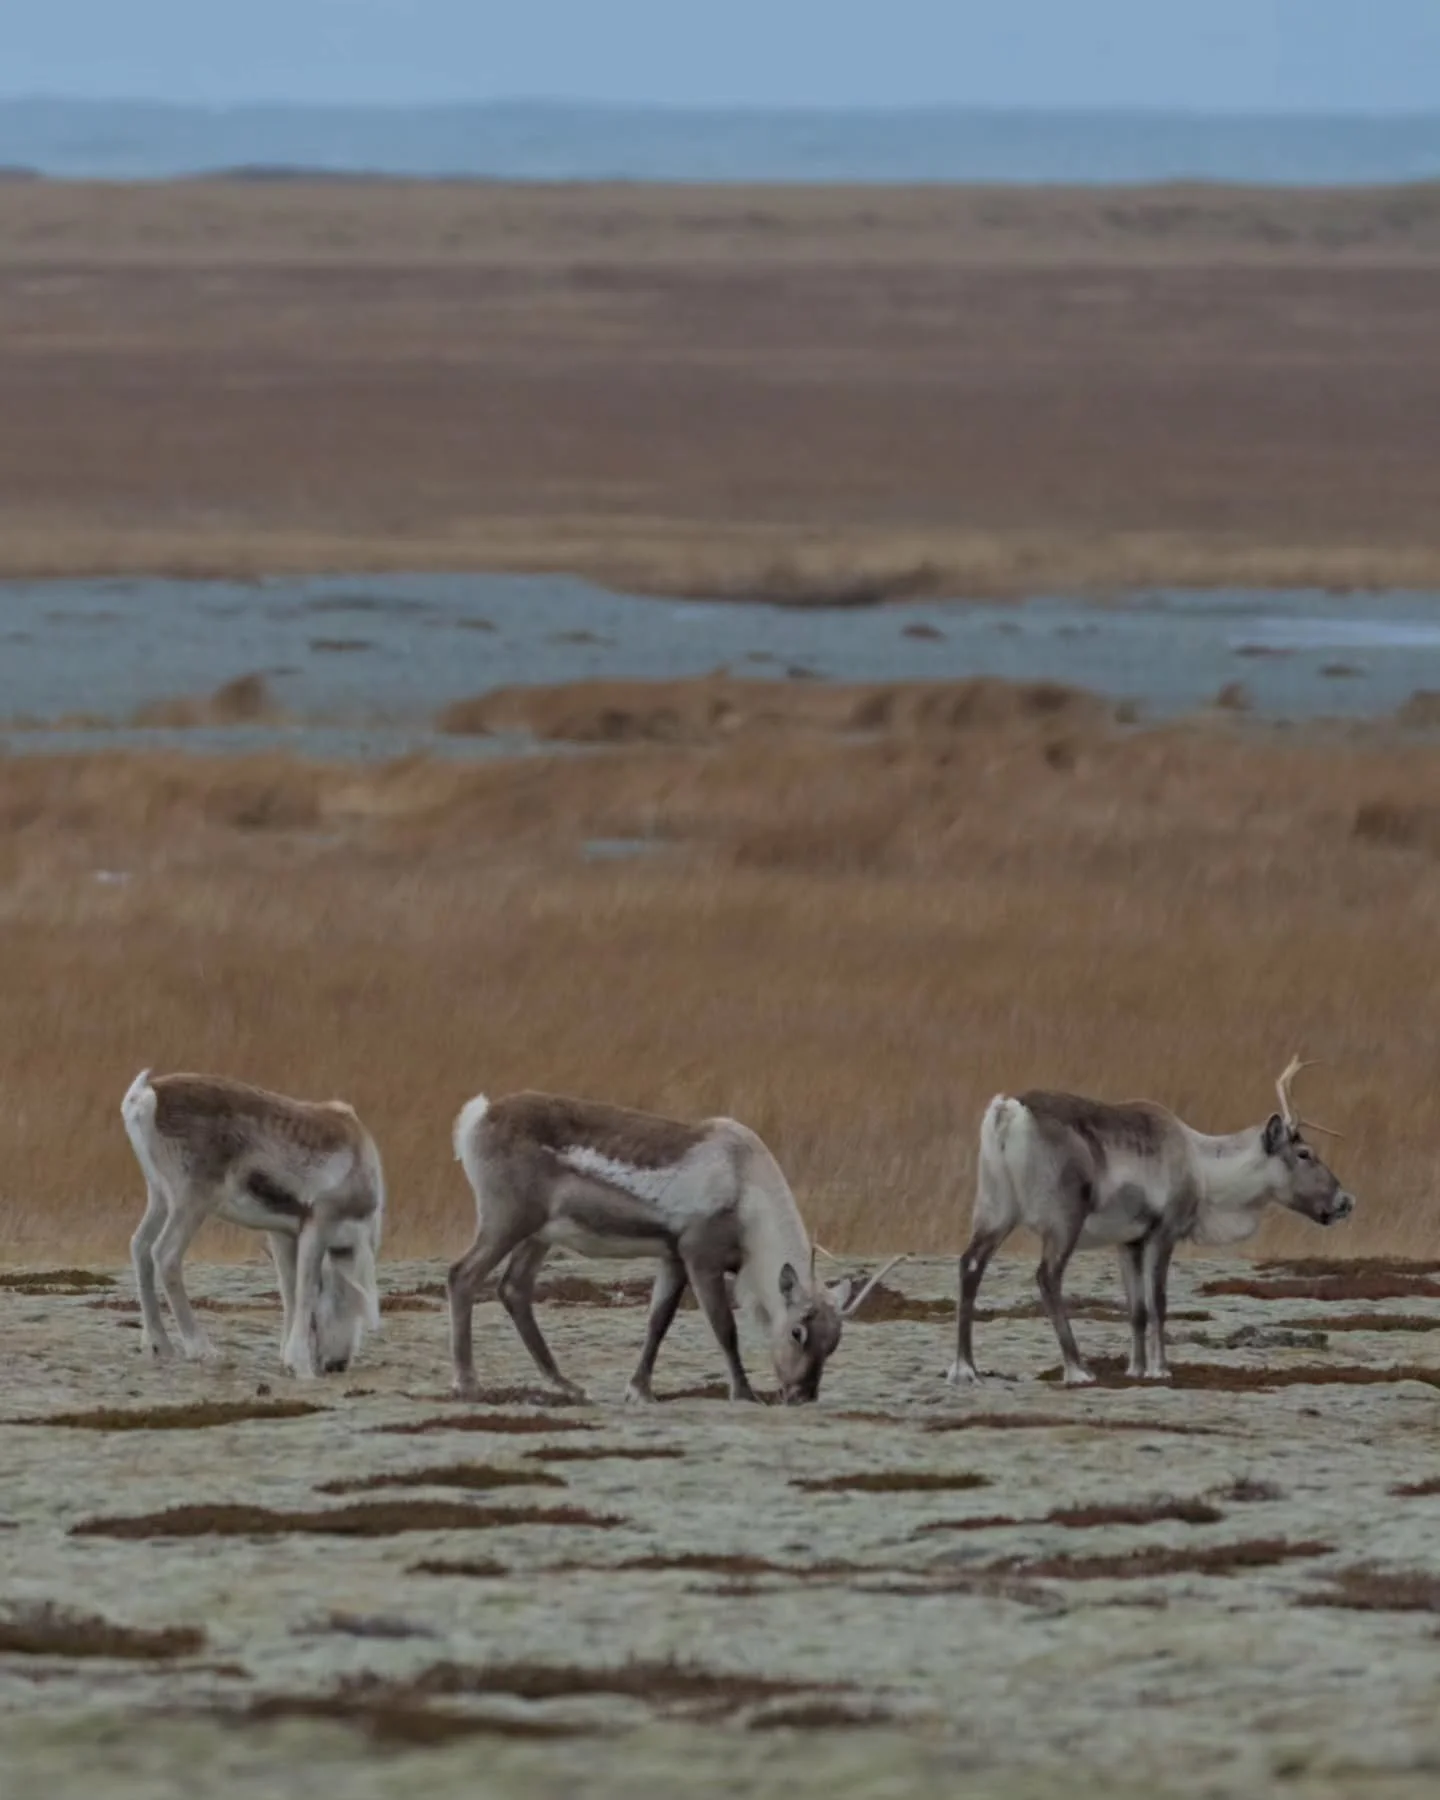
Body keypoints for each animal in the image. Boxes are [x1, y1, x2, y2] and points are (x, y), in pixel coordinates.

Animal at [121, 1070, 384, 1378]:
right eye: (349, 1299)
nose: (336, 1365)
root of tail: (146, 1092)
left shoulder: (283, 1234)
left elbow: (288, 1290)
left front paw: (285, 1358)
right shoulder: (317, 1227)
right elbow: (305, 1291)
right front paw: (300, 1365)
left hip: (160, 1197)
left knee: (140, 1246)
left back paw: (159, 1345)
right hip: (190, 1203)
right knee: (165, 1254)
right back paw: (203, 1350)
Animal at [447, 1089, 903, 1405]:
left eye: (835, 1341)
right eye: (797, 1331)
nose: (802, 1395)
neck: (747, 1187)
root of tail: (477, 1117)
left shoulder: (672, 1257)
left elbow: (657, 1322)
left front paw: (639, 1390)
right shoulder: (700, 1255)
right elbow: (724, 1328)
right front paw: (744, 1393)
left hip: (540, 1234)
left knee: (514, 1288)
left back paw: (567, 1384)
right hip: (507, 1219)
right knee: (462, 1275)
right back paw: (468, 1382)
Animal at [946, 1056, 1355, 1389]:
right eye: (1305, 1153)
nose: (1345, 1202)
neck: (1203, 1169)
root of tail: (1007, 1111)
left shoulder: (1129, 1241)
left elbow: (1137, 1310)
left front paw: (1136, 1368)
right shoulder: (1164, 1231)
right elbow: (1158, 1302)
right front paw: (1161, 1369)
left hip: (995, 1207)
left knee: (970, 1264)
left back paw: (965, 1368)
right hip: (1064, 1218)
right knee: (1047, 1276)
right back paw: (1077, 1368)